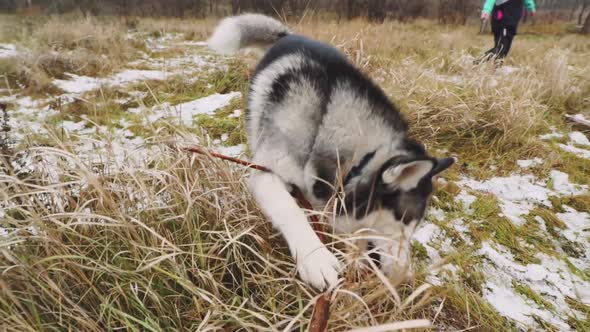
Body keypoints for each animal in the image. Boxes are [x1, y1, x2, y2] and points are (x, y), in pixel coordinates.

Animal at [209, 14, 458, 290]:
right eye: (405, 223)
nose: (406, 279)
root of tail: (289, 35)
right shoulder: (267, 173)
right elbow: (290, 210)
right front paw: (315, 257)